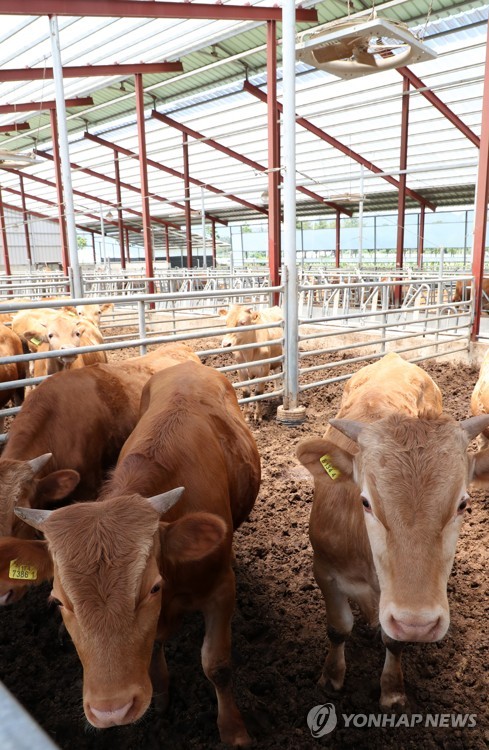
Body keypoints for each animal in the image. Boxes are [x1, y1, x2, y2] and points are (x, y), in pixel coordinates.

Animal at [11, 362, 260, 748]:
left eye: (153, 588)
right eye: (59, 601)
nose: (111, 711)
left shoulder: (221, 589)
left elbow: (216, 664)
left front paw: (233, 730)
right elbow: (154, 647)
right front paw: (161, 696)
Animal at [296, 352, 488, 712]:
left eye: (463, 504)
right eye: (365, 502)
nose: (418, 624)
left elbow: (394, 642)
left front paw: (392, 690)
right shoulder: (324, 568)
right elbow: (338, 627)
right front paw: (331, 678)